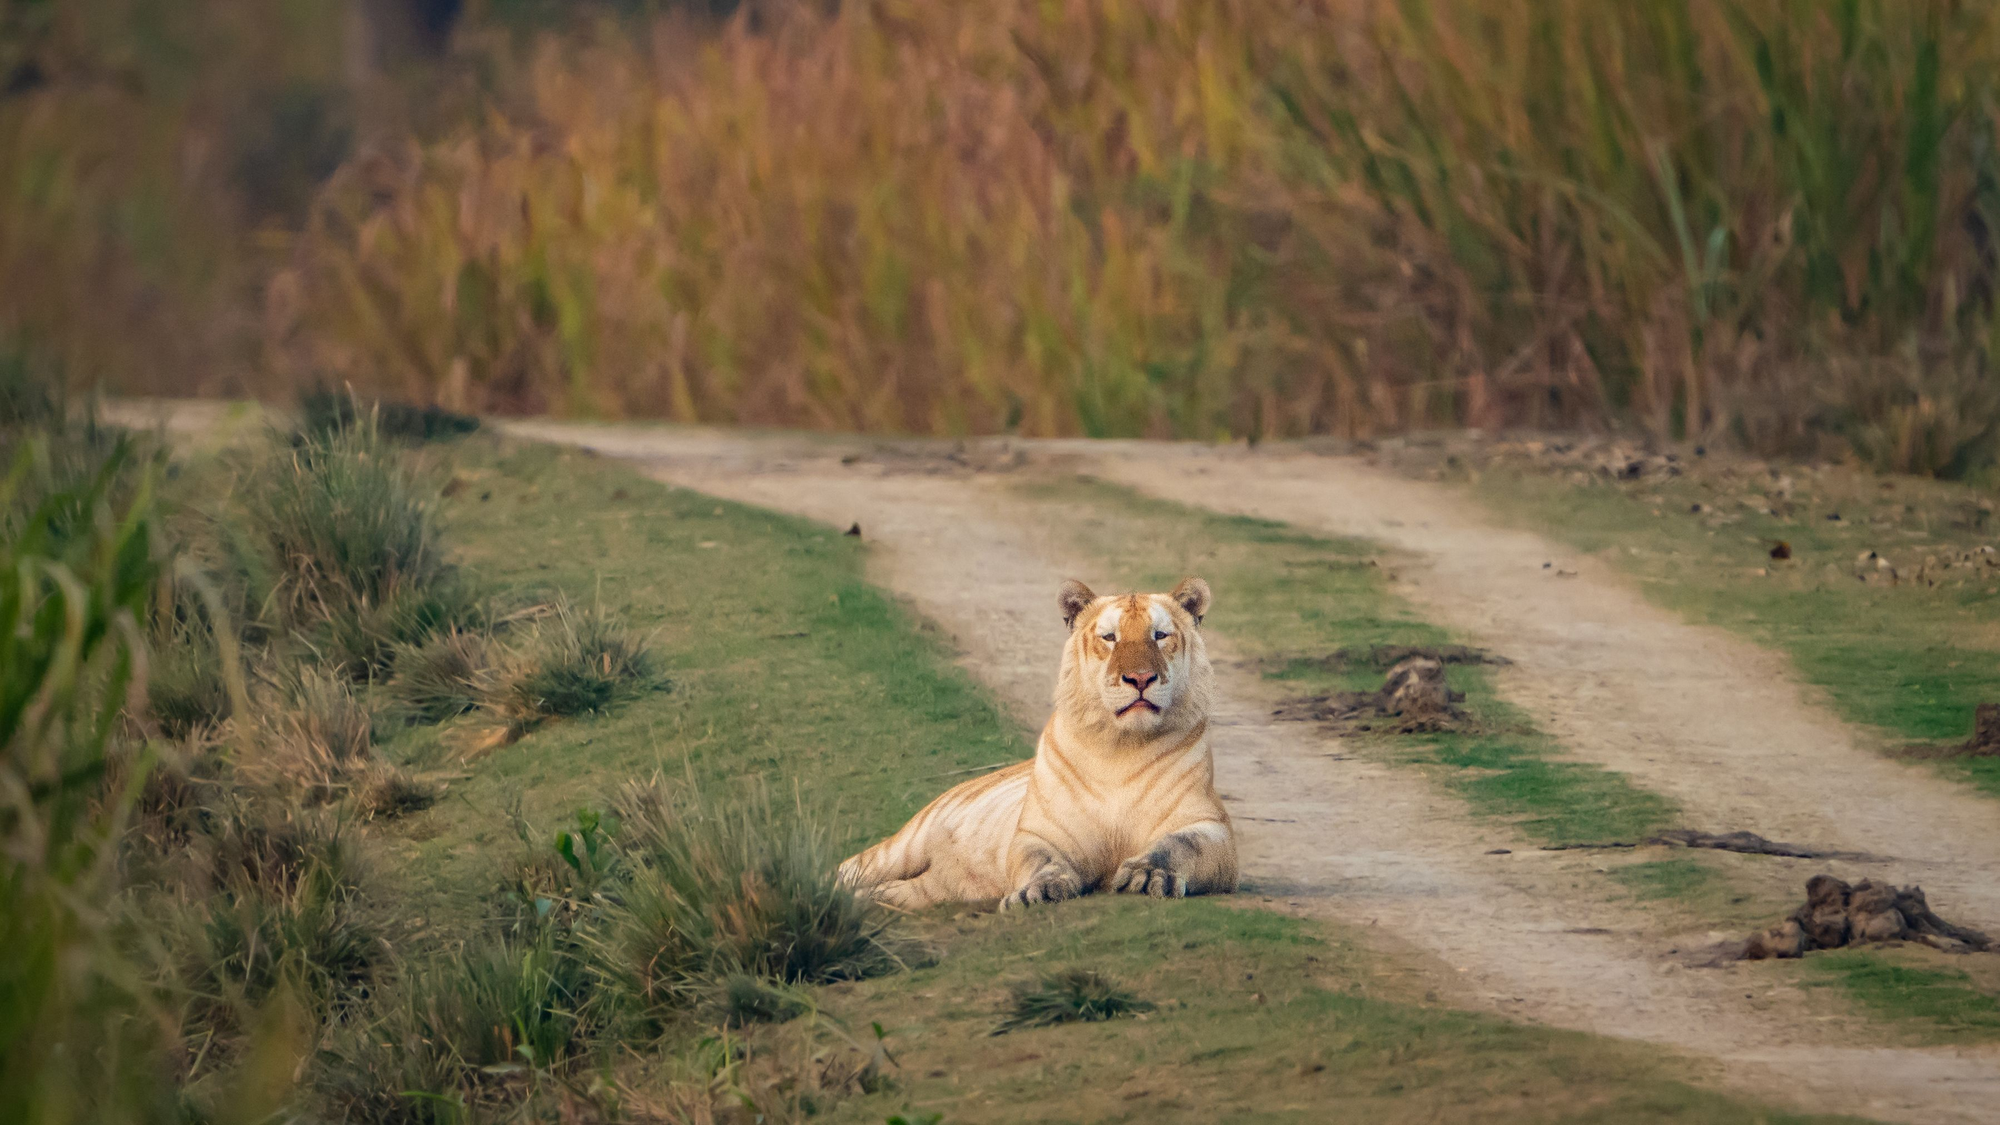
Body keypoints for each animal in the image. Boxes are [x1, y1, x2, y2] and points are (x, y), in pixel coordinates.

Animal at [832, 572, 1232, 904]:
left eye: (1159, 636)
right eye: (1110, 638)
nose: (1140, 678)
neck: (1122, 746)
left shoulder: (1211, 827)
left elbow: (1178, 845)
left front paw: (1149, 875)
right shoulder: (1040, 833)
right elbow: (1040, 860)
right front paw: (1039, 891)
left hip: (930, 889)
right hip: (906, 843)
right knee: (848, 867)